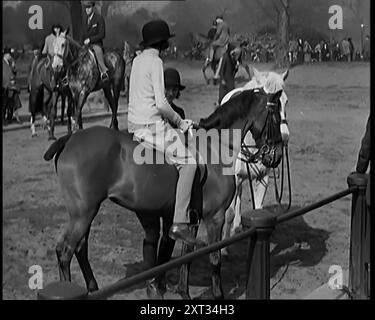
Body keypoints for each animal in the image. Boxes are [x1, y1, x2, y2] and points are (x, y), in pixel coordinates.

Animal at [44, 87, 284, 300]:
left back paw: (94, 288)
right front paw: (218, 295)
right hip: (83, 213)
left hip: (86, 213)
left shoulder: (192, 219)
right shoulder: (214, 217)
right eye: (276, 118)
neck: (214, 148)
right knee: (65, 251)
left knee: (80, 248)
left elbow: (187, 256)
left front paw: (184, 292)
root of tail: (70, 139)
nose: (277, 156)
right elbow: (215, 257)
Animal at [222, 66, 292, 256]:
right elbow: (229, 212)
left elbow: (259, 209)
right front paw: (223, 249)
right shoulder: (234, 179)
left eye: (286, 101)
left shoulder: (263, 178)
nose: (284, 137)